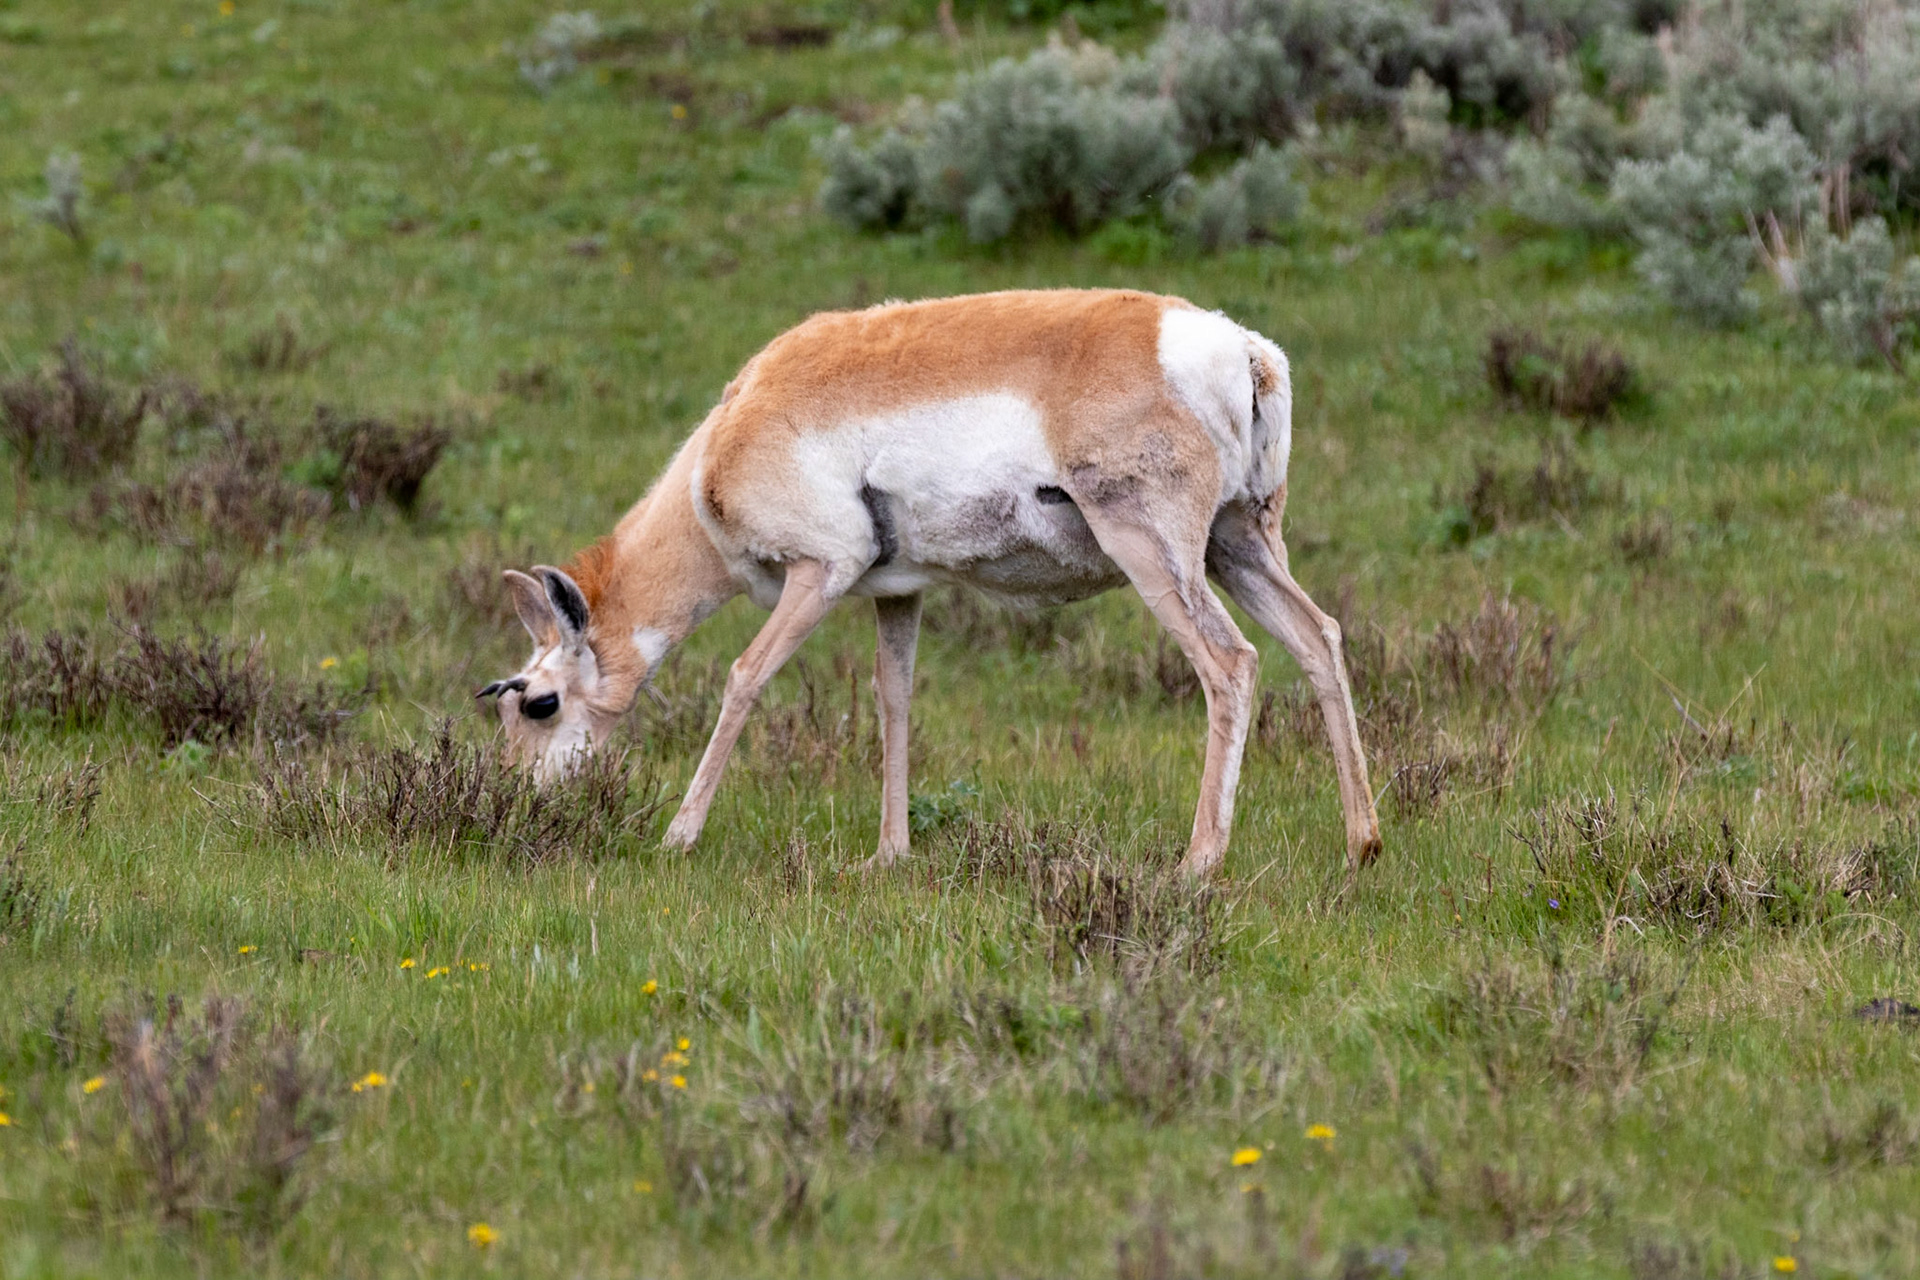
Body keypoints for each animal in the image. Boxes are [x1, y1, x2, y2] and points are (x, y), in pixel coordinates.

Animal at [478, 289, 1382, 880]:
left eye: (538, 702)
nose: (518, 802)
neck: (726, 441)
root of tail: (1237, 347)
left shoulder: (822, 572)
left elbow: (744, 679)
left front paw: (678, 836)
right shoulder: (896, 593)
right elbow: (895, 700)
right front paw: (889, 853)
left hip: (1157, 554)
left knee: (1231, 665)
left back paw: (1197, 862)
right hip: (1240, 546)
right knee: (1319, 637)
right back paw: (1363, 843)